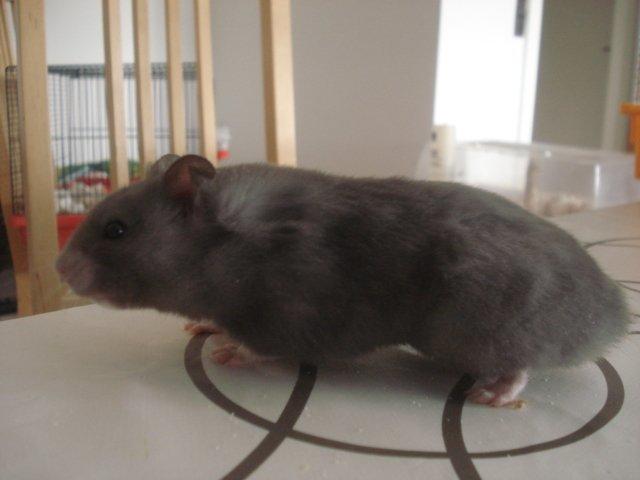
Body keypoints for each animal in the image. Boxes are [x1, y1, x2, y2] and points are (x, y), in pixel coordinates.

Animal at [56, 154, 630, 407]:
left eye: (116, 229)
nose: (60, 268)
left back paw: (493, 394)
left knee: (522, 364)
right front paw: (201, 327)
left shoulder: (286, 315)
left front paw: (225, 350)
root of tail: (616, 317)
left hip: (485, 326)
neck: (222, 248)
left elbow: (260, 343)